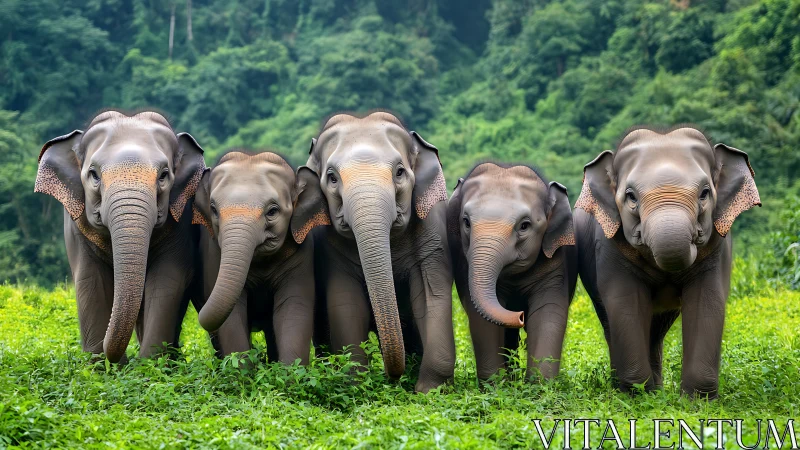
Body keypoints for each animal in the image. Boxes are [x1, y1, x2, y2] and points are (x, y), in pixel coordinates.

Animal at [34, 110, 206, 363]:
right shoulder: (74, 224)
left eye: (164, 175)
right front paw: (102, 367)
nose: (118, 359)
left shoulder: (180, 219)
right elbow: (90, 278)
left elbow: (168, 278)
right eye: (93, 174)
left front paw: (149, 365)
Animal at [192, 150, 322, 363]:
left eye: (273, 211)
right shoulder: (214, 253)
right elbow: (233, 317)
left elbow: (294, 307)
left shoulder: (301, 253)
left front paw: (291, 371)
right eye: (214, 209)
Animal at [299, 111, 455, 393]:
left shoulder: (433, 229)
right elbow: (346, 302)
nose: (392, 378)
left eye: (400, 172)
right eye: (332, 178)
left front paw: (430, 391)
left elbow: (431, 296)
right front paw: (356, 386)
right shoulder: (330, 247)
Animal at [447, 163, 577, 381]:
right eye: (466, 222)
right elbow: (481, 317)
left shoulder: (555, 262)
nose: (520, 315)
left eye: (525, 225)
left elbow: (548, 311)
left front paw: (539, 385)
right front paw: (495, 384)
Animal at [573, 126, 761, 398]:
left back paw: (657, 391)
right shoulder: (608, 245)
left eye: (705, 192)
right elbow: (625, 302)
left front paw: (697, 400)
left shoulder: (719, 246)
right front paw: (637, 395)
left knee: (657, 330)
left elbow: (707, 300)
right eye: (631, 196)